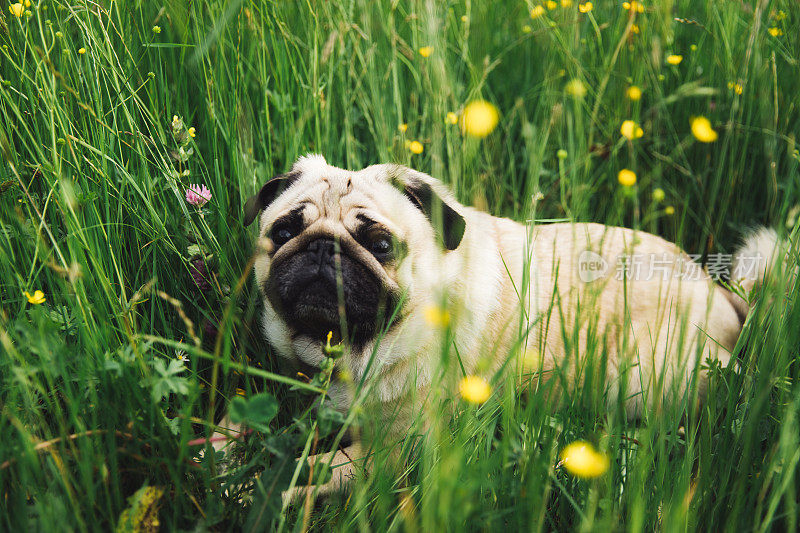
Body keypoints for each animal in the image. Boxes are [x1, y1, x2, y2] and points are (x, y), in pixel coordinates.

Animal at [242, 153, 776, 498]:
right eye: (284, 232)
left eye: (381, 245)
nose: (321, 249)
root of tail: (721, 293)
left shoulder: (394, 449)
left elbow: (306, 473)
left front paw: (257, 490)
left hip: (643, 374)